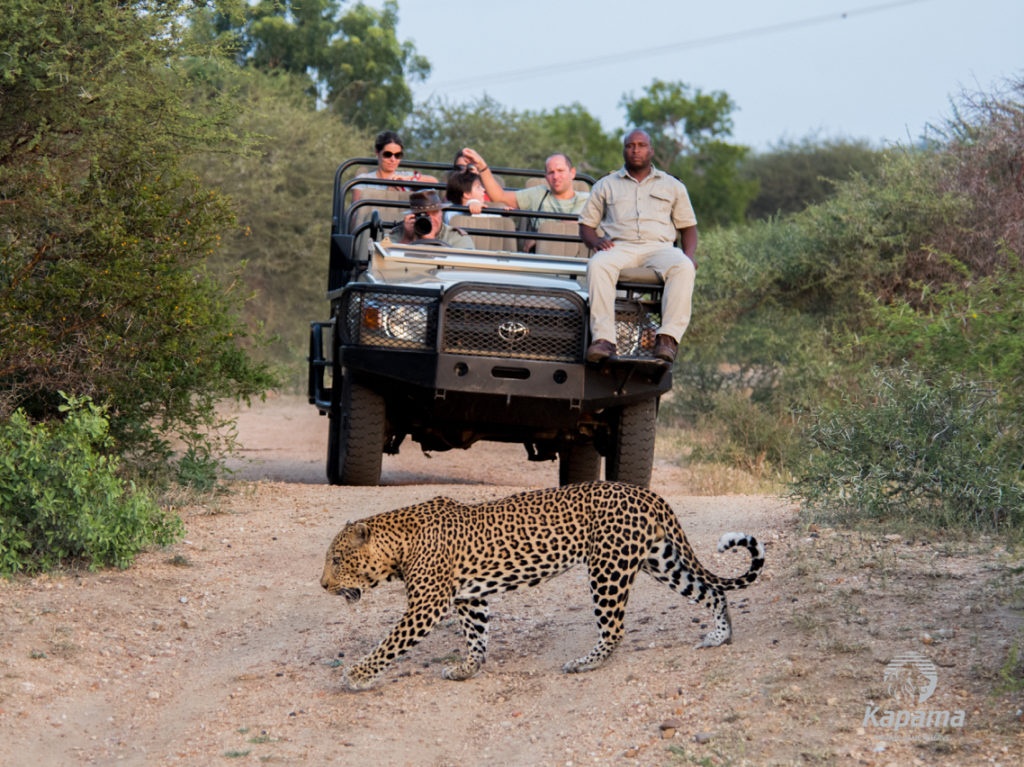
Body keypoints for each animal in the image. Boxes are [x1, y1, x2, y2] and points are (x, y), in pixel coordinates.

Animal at [319, 479, 761, 688]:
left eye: (336, 559)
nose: (322, 586)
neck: (398, 544)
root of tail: (647, 494)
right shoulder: (469, 598)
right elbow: (476, 637)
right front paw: (467, 669)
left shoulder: (427, 605)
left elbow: (389, 643)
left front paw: (356, 675)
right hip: (661, 559)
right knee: (712, 591)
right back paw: (719, 636)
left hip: (608, 568)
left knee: (614, 627)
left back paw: (584, 663)